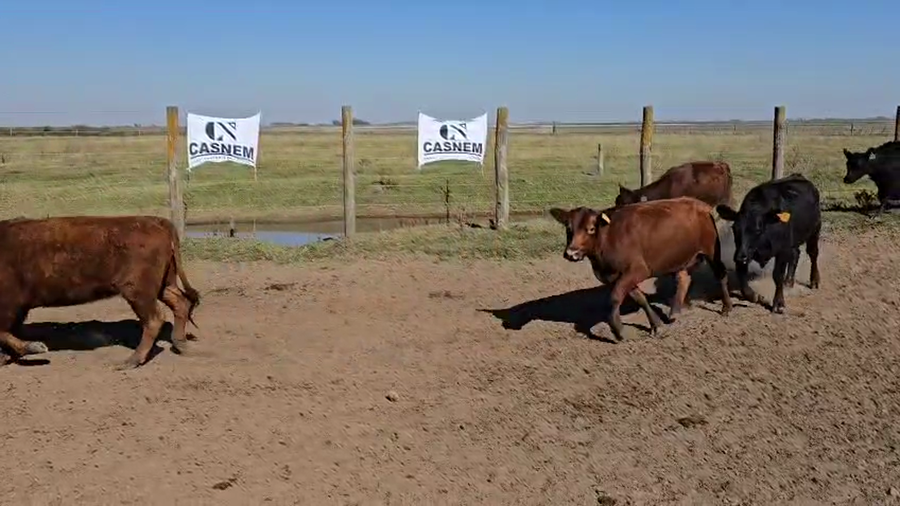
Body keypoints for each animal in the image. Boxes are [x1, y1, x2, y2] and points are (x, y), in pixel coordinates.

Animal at [0, 215, 200, 369]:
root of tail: (155, 221)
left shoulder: (11, 305)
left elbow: (3, 332)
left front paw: (35, 347)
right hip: (163, 285)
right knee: (180, 303)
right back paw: (181, 344)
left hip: (137, 291)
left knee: (154, 319)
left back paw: (131, 361)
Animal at [549, 197, 732, 341]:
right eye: (569, 229)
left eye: (591, 229)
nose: (571, 253)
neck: (609, 237)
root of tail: (700, 204)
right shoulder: (618, 277)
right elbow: (640, 299)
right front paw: (656, 324)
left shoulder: (636, 270)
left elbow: (615, 298)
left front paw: (619, 331)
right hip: (680, 257)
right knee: (683, 279)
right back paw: (674, 312)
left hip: (711, 250)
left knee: (721, 274)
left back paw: (727, 308)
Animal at [715, 173, 821, 314]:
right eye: (734, 229)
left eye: (758, 230)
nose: (740, 257)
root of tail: (800, 177)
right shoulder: (743, 251)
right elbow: (741, 275)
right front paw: (754, 295)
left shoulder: (781, 250)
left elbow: (777, 276)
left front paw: (779, 303)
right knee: (796, 253)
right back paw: (789, 281)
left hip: (815, 230)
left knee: (813, 254)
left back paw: (814, 280)